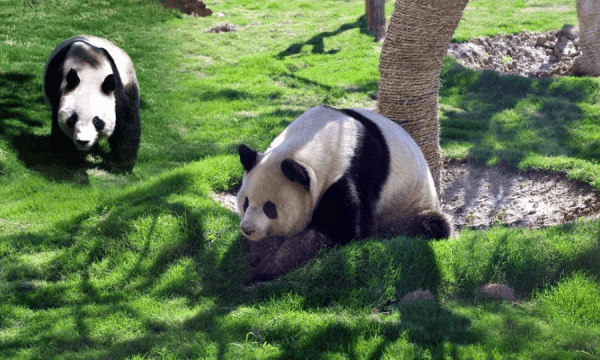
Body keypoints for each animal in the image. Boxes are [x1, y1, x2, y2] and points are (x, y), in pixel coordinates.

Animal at [43, 35, 141, 173]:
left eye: (97, 121)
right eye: (73, 118)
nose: (83, 141)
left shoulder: (114, 89)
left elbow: (125, 121)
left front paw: (120, 164)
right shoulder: (60, 90)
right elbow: (59, 128)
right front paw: (68, 159)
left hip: (129, 79)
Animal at [237, 104, 452, 282]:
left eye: (270, 208)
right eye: (246, 203)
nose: (248, 229)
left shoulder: (351, 172)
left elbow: (338, 231)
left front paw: (267, 268)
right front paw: (259, 252)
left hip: (409, 203)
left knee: (430, 225)